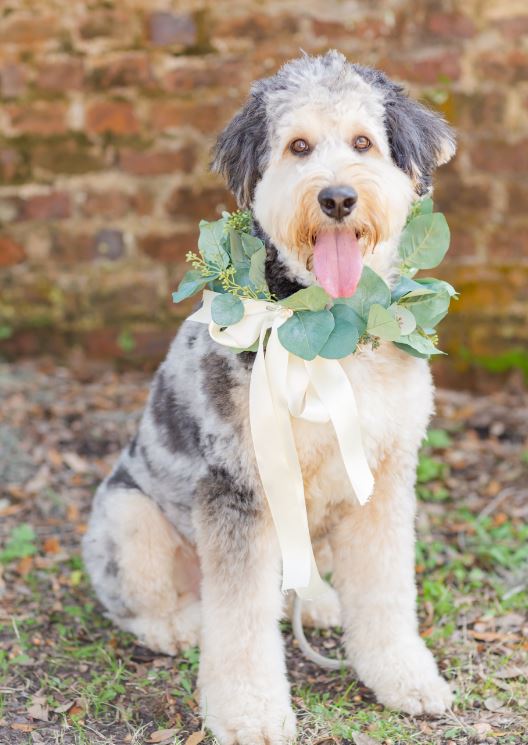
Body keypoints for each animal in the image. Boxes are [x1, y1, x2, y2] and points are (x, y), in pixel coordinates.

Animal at [82, 52, 454, 744]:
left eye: (362, 143)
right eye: (298, 147)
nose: (337, 197)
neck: (330, 327)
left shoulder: (384, 480)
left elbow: (387, 591)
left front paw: (404, 676)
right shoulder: (239, 491)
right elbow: (240, 622)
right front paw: (250, 712)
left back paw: (320, 601)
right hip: (128, 517)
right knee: (144, 605)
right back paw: (177, 626)